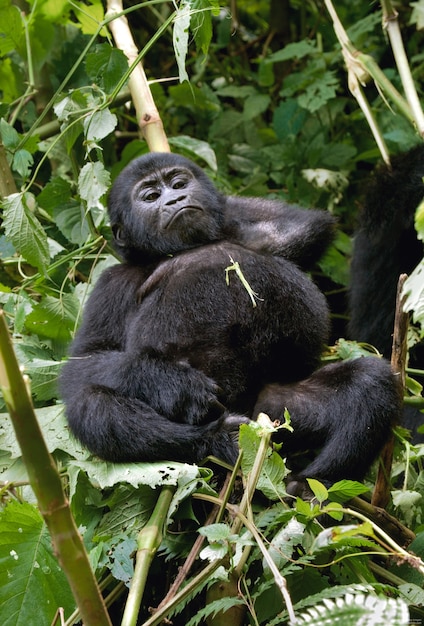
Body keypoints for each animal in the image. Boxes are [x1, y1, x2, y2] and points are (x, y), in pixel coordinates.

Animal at [59, 151, 400, 488]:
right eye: (152, 196)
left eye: (179, 183)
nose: (176, 198)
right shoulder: (112, 284)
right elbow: (86, 364)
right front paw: (175, 386)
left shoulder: (241, 215)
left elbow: (305, 227)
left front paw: (203, 256)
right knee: (92, 404)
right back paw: (214, 439)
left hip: (275, 413)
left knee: (370, 381)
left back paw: (315, 484)